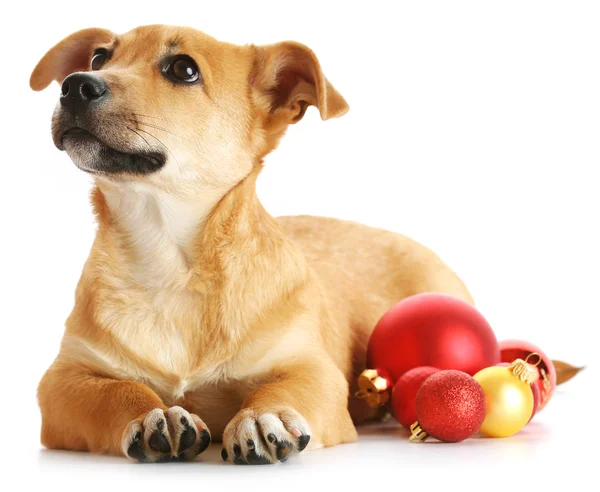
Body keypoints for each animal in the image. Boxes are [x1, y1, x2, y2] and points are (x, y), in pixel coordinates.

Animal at [30, 26, 474, 466]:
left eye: (183, 70)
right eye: (99, 59)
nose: (75, 85)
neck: (172, 263)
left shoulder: (314, 370)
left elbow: (281, 388)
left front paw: (262, 416)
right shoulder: (62, 381)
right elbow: (117, 391)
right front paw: (154, 413)